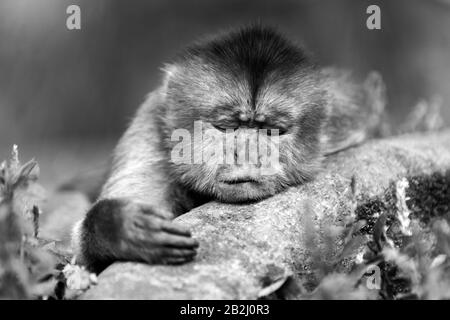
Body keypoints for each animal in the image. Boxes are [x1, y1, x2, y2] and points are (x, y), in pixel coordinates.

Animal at [72, 24, 384, 272]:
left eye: (272, 129)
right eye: (227, 127)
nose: (247, 154)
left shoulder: (347, 113)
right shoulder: (149, 131)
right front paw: (120, 227)